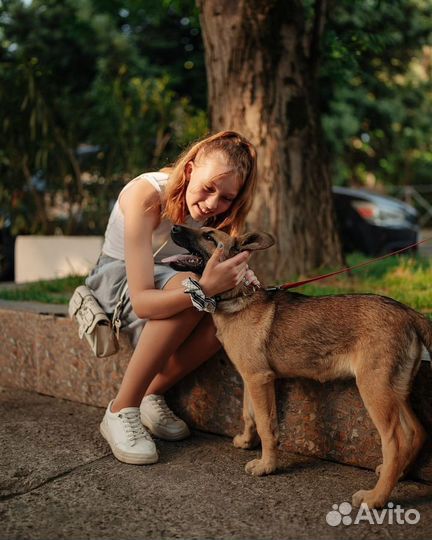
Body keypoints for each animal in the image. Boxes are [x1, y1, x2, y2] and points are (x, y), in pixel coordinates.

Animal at [169, 225, 428, 510]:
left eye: (209, 236)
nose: (173, 227)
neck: (237, 298)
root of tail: (408, 312)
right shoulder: (250, 377)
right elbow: (248, 414)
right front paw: (247, 442)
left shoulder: (259, 379)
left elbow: (266, 425)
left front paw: (267, 466)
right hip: (395, 390)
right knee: (416, 432)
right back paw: (399, 475)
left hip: (374, 389)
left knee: (396, 442)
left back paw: (376, 497)